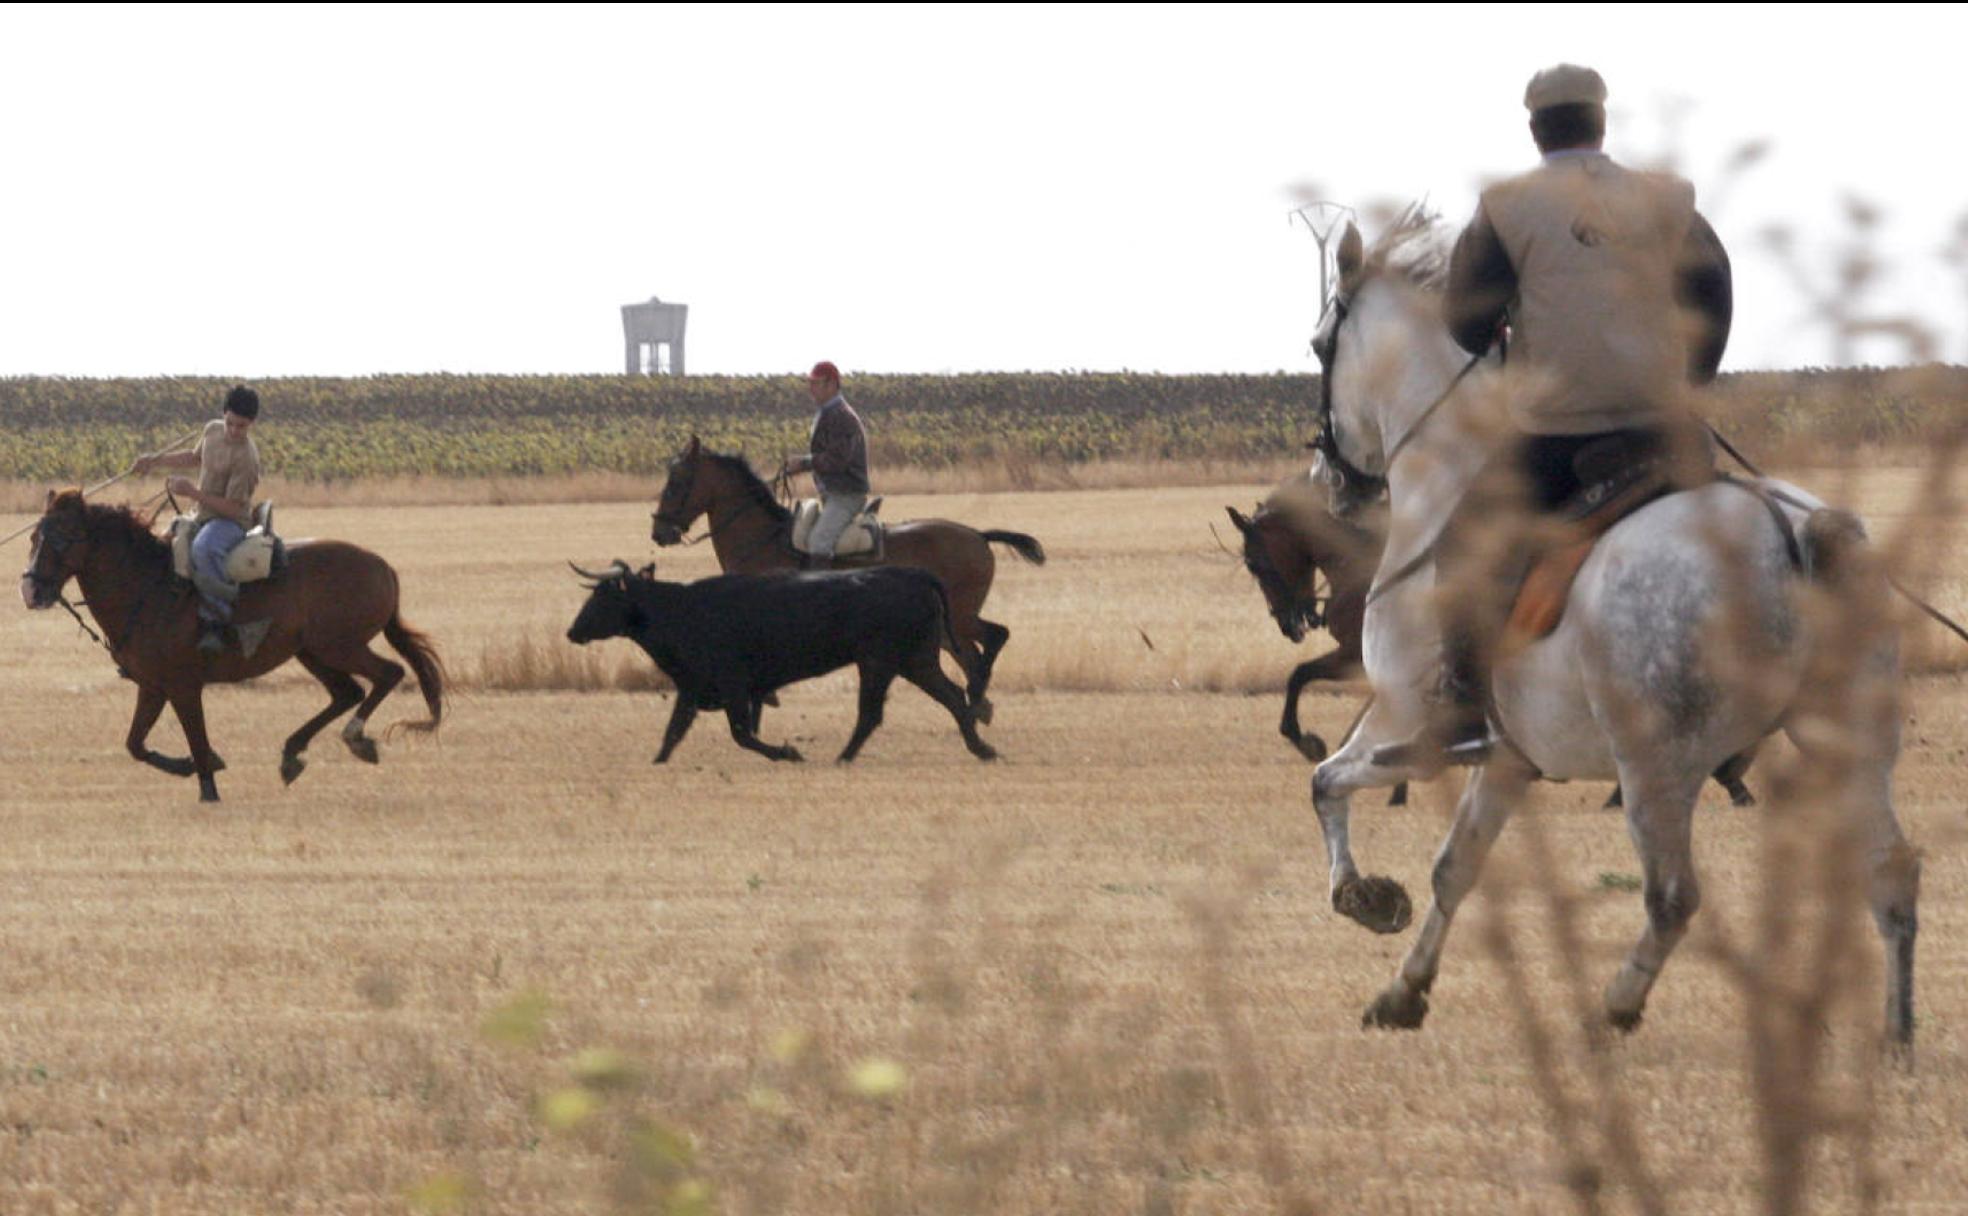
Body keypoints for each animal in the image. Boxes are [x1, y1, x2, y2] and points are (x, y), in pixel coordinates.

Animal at [20, 487, 442, 798]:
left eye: (63, 537)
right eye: (34, 536)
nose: (31, 590)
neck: (146, 585)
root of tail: (382, 566)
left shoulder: (183, 686)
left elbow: (195, 737)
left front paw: (207, 784)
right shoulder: (152, 686)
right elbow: (135, 743)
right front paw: (188, 765)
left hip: (341, 646)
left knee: (388, 674)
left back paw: (355, 738)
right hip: (312, 652)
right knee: (347, 692)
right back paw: (292, 753)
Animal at [649, 434, 1046, 720]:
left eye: (676, 481)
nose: (659, 531)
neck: (765, 538)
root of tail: (978, 535)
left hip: (961, 617)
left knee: (993, 638)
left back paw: (976, 697)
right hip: (952, 625)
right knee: (973, 655)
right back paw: (978, 703)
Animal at [1306, 213, 1920, 1038]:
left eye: (1320, 346)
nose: (1331, 480)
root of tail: (1786, 529)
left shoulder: (1403, 724)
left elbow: (1326, 782)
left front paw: (1364, 898)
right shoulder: (1508, 758)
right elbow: (1454, 867)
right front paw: (1403, 992)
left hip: (1656, 771)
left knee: (1672, 898)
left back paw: (1615, 1011)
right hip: (1848, 745)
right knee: (1890, 875)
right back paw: (1897, 1038)